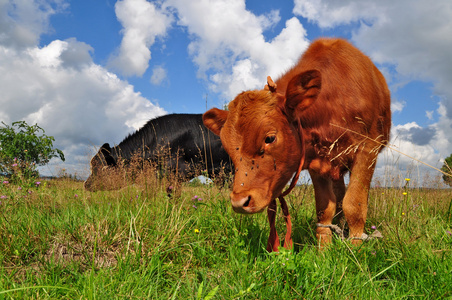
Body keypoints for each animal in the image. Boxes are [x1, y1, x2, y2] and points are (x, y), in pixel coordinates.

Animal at [203, 38, 390, 252]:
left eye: (269, 138)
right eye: (227, 146)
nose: (239, 202)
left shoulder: (367, 150)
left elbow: (355, 205)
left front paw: (356, 249)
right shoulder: (318, 162)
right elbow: (325, 208)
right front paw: (324, 250)